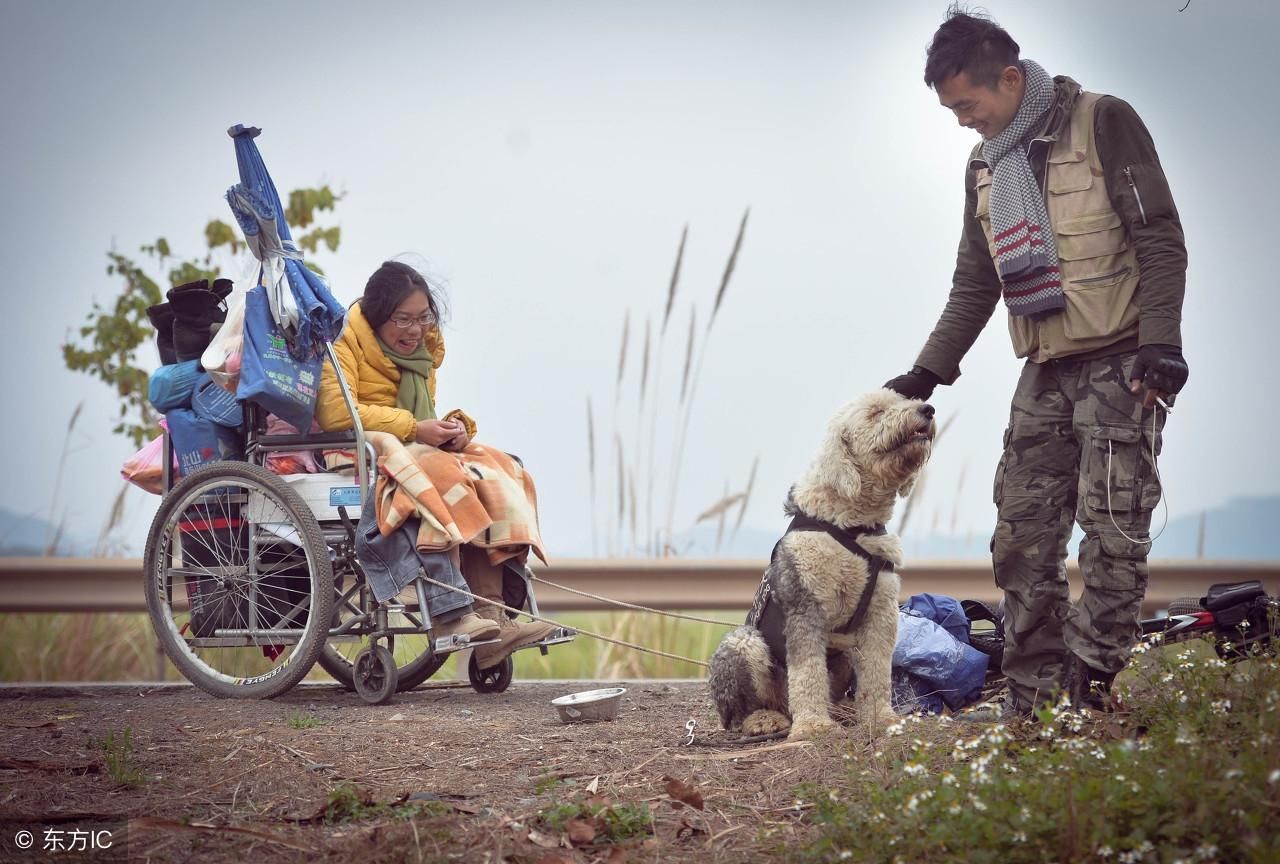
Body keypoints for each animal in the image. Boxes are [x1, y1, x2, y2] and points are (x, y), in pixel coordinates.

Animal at [706, 389, 936, 737]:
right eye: (875, 412)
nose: (928, 408)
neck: (852, 525)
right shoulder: (807, 606)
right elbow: (808, 671)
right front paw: (815, 726)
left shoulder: (880, 612)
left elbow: (877, 670)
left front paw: (881, 717)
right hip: (744, 643)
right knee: (743, 712)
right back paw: (764, 719)